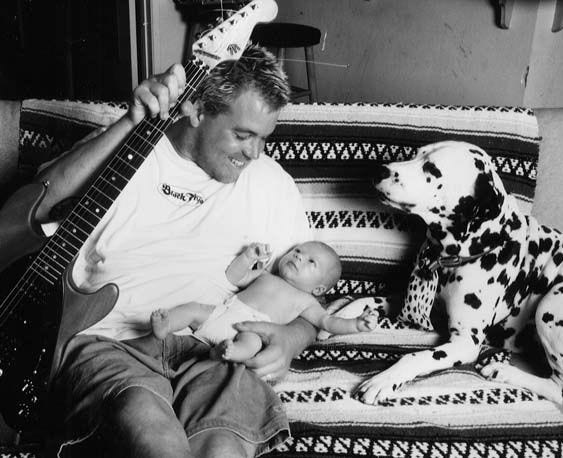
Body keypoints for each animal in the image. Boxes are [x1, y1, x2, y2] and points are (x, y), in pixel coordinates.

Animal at [354, 141, 563, 406]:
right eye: (416, 155)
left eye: (432, 169)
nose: (380, 170)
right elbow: (365, 300)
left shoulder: (465, 342)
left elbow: (414, 357)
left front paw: (384, 379)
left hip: (550, 304)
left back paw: (503, 370)